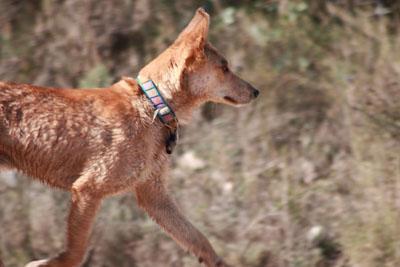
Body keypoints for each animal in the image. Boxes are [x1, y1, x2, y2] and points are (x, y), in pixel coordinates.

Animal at [0, 8, 260, 267]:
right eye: (225, 68)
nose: (256, 91)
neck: (153, 104)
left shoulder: (153, 195)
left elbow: (199, 239)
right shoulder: (88, 188)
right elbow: (75, 252)